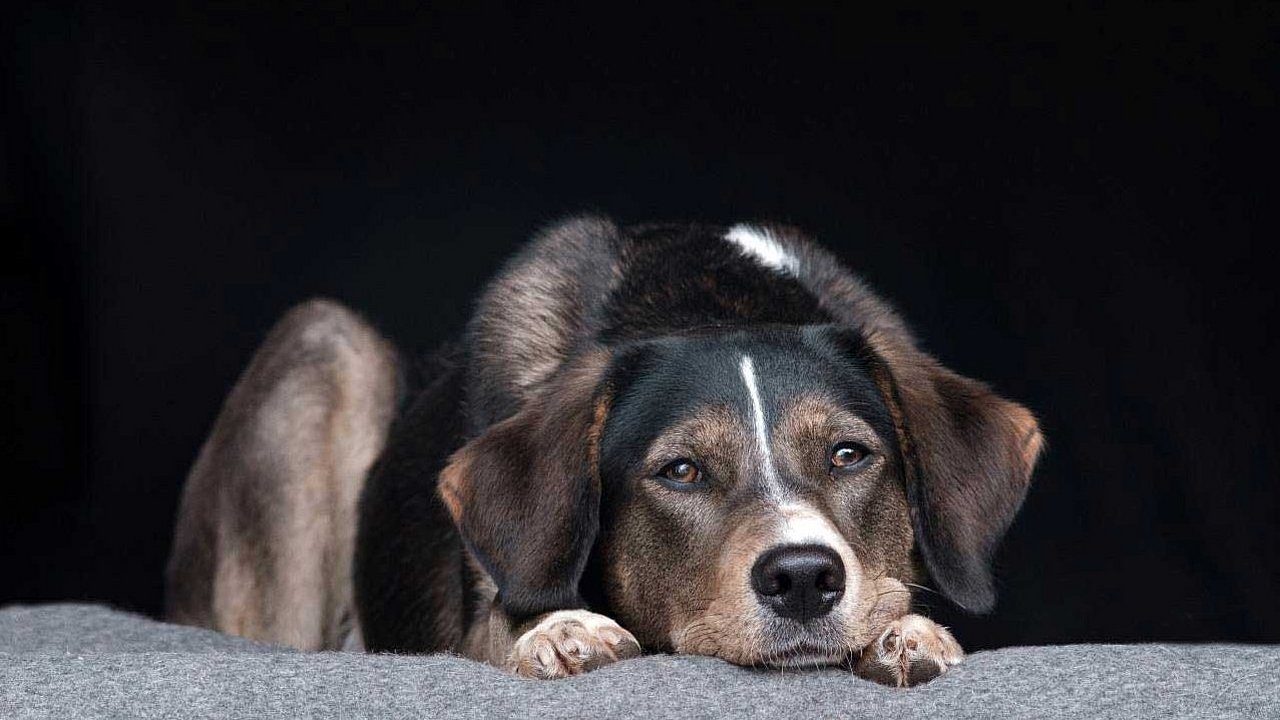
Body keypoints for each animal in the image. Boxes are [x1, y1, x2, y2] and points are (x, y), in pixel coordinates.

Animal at [167, 213, 1039, 681]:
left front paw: (907, 634)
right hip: (323, 347)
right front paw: (562, 633)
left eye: (850, 455)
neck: (702, 299)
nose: (803, 579)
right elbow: (506, 623)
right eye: (680, 471)